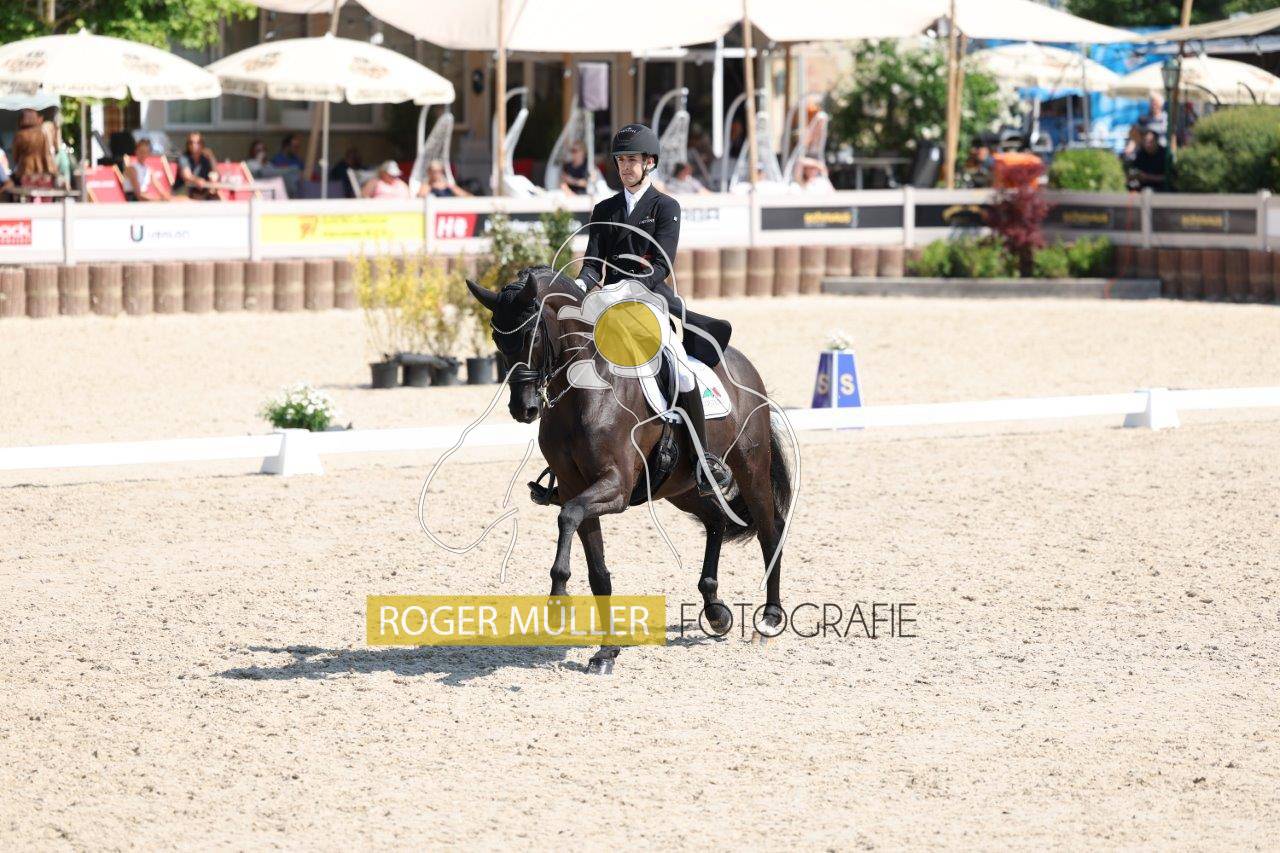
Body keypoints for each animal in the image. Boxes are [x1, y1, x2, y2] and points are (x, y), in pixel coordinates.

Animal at [466, 266, 794, 674]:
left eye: (532, 334)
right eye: (497, 338)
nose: (523, 409)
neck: (584, 391)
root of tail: (743, 365)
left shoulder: (616, 486)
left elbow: (567, 516)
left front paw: (558, 602)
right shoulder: (576, 486)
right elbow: (596, 569)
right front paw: (606, 652)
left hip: (750, 469)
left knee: (770, 530)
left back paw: (769, 620)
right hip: (680, 486)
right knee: (715, 519)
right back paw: (716, 611)